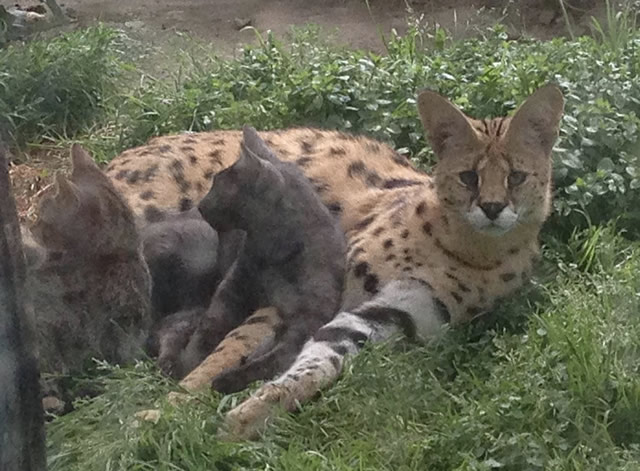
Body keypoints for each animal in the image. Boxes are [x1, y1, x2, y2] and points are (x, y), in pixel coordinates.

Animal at [168, 124, 342, 390]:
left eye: (217, 184)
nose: (200, 205)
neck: (274, 250)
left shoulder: (311, 314)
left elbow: (278, 356)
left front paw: (229, 378)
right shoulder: (234, 286)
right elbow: (210, 325)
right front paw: (189, 362)